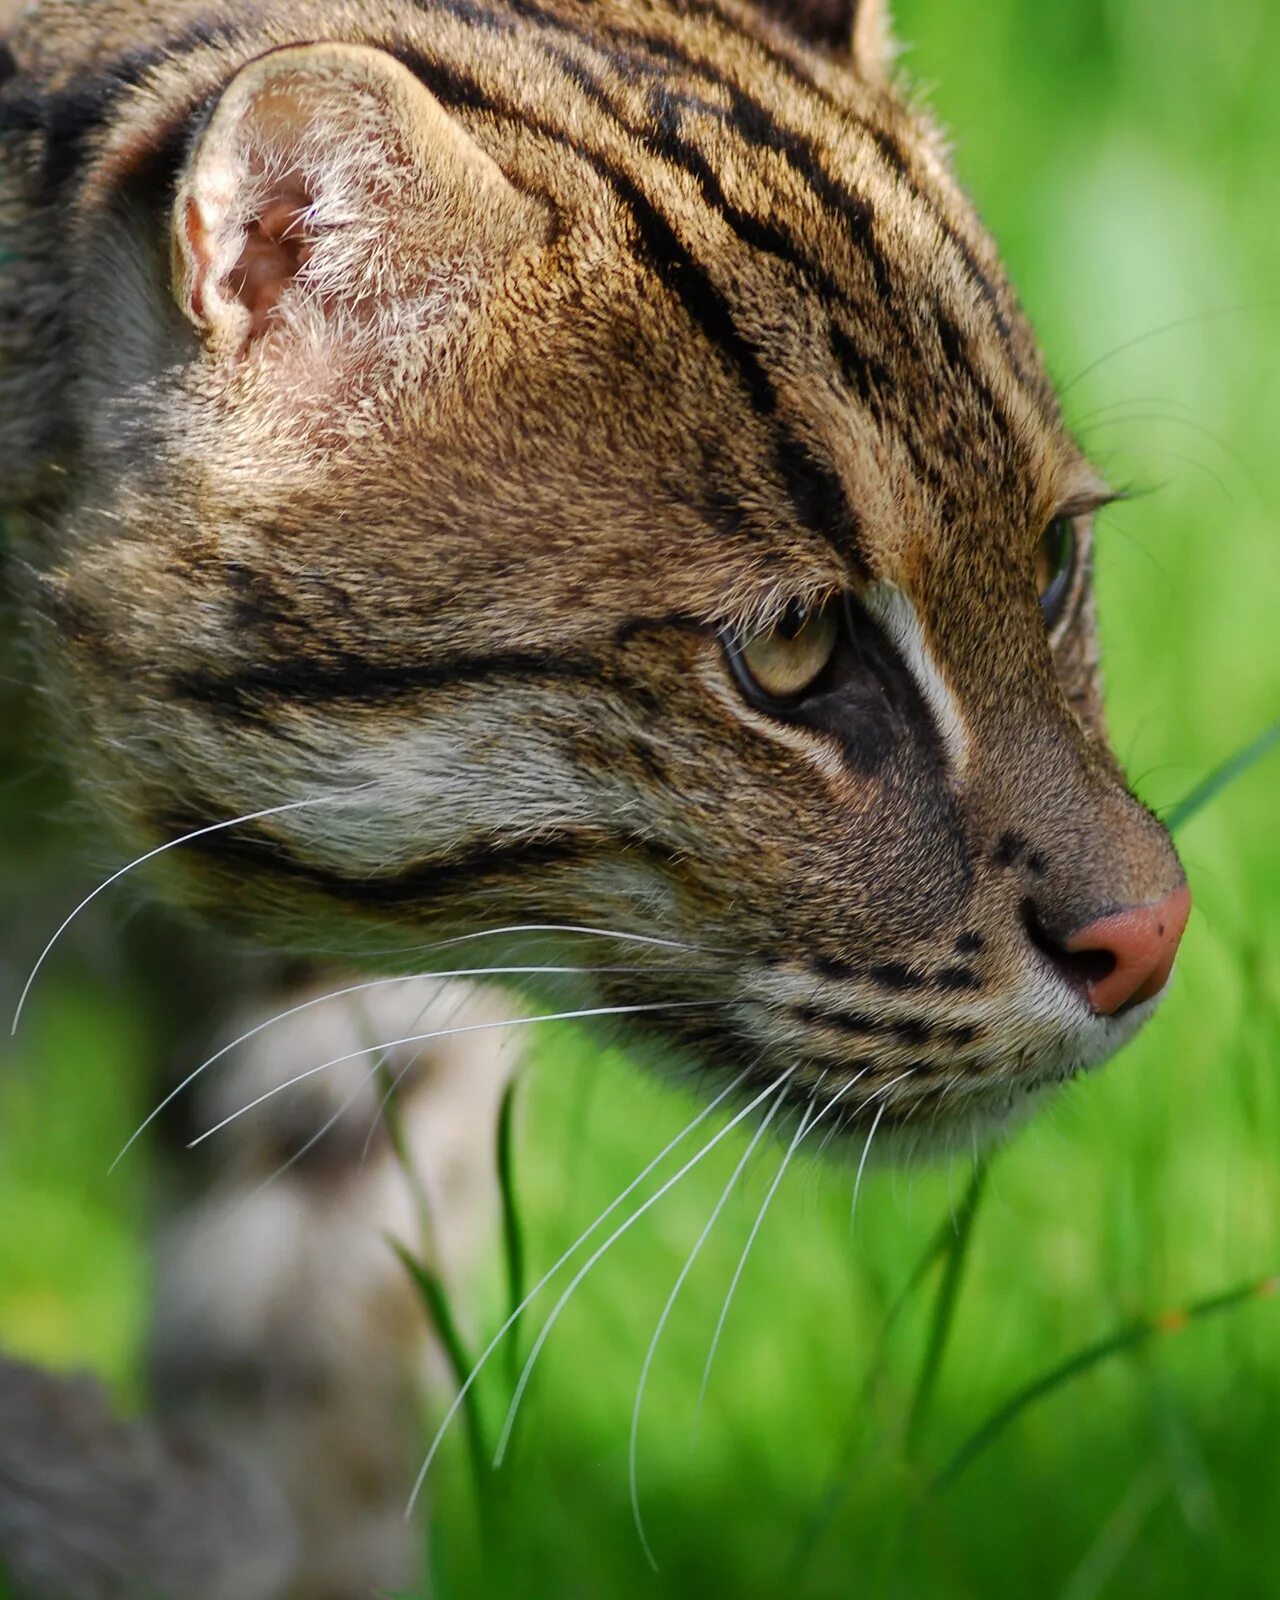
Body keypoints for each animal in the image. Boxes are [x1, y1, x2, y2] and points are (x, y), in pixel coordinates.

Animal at [0, 0, 1190, 1593]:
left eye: (1052, 563)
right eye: (791, 649)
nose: (1155, 939)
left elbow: (324, 1315)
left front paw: (250, 1525)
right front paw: (143, 1506)